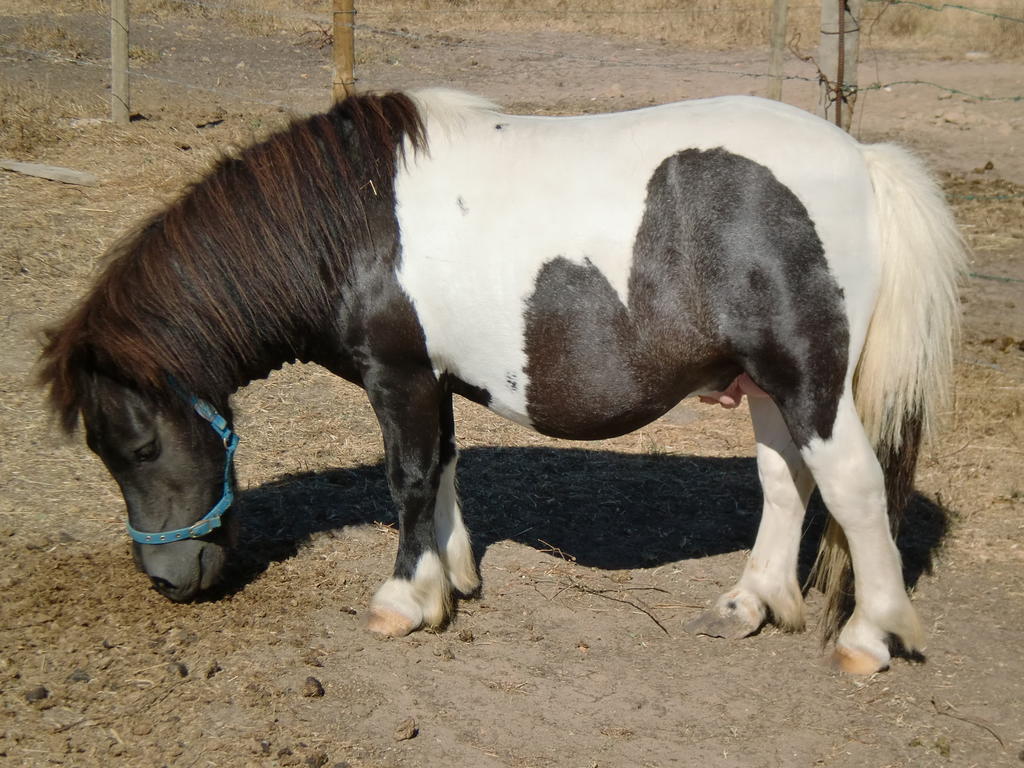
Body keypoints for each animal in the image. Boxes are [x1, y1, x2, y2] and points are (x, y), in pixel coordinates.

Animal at [37, 88, 966, 671]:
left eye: (136, 446)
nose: (168, 580)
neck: (354, 221)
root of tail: (863, 160)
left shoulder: (398, 376)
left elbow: (409, 480)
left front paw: (405, 598)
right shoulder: (434, 381)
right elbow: (445, 467)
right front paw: (453, 577)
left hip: (806, 378)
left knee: (853, 488)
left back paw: (870, 640)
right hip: (765, 385)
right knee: (785, 484)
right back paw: (749, 604)